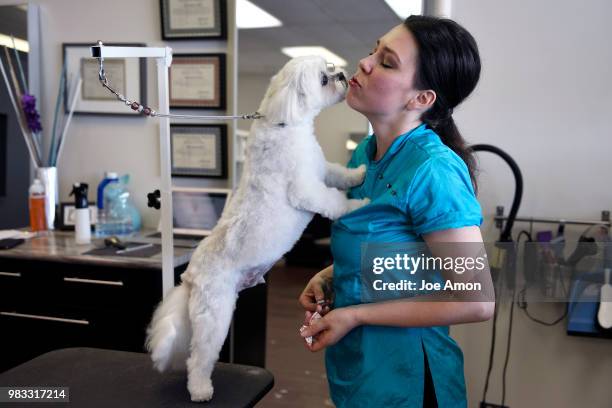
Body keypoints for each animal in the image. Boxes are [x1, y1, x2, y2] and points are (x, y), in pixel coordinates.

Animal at [146, 55, 370, 402]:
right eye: (323, 78)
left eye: (331, 67)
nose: (342, 76)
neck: (285, 124)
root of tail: (191, 276)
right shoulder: (307, 190)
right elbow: (334, 201)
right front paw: (358, 204)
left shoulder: (321, 169)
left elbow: (338, 173)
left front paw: (359, 172)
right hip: (215, 317)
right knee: (199, 358)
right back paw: (201, 389)